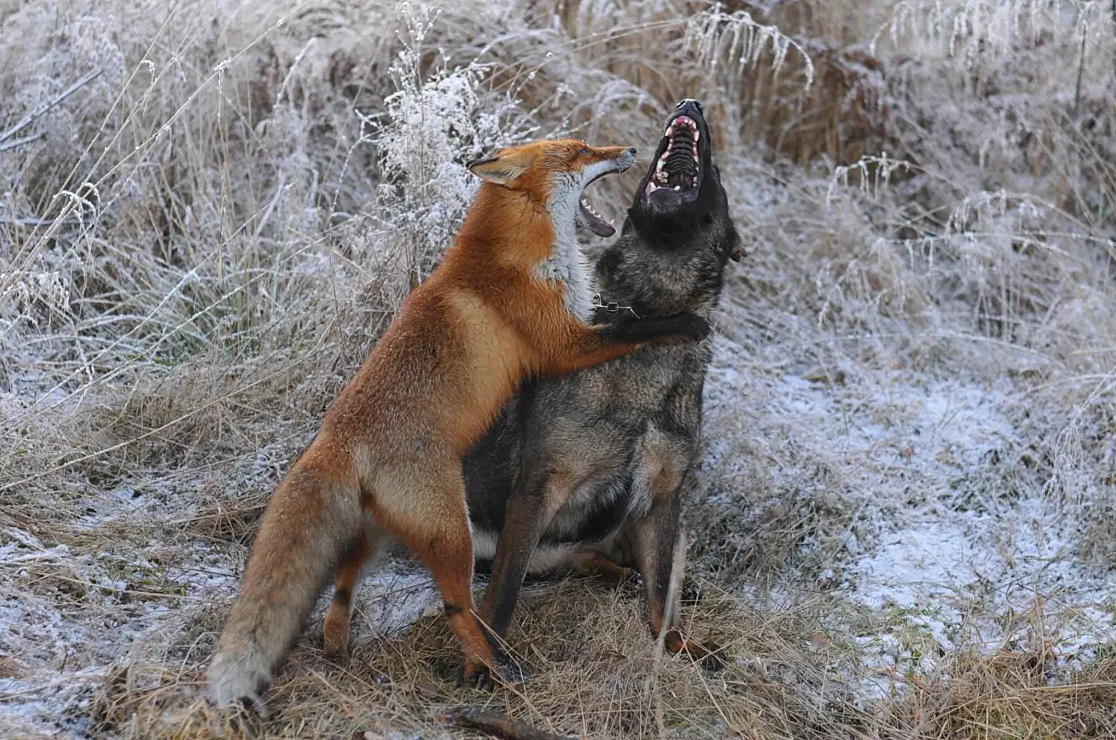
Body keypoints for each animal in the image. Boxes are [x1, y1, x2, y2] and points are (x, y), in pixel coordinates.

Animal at [205, 138, 709, 714]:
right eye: (578, 151)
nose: (629, 147)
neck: (516, 256)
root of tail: (335, 437)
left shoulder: (573, 332)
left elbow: (626, 321)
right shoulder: (564, 344)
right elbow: (637, 328)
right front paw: (686, 322)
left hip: (384, 531)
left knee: (346, 576)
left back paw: (338, 642)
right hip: (454, 536)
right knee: (459, 608)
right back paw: (495, 667)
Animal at [457, 99, 736, 669]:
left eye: (716, 174)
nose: (690, 104)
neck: (654, 314)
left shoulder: (663, 499)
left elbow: (661, 597)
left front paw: (677, 644)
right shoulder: (538, 489)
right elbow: (504, 593)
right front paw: (491, 662)